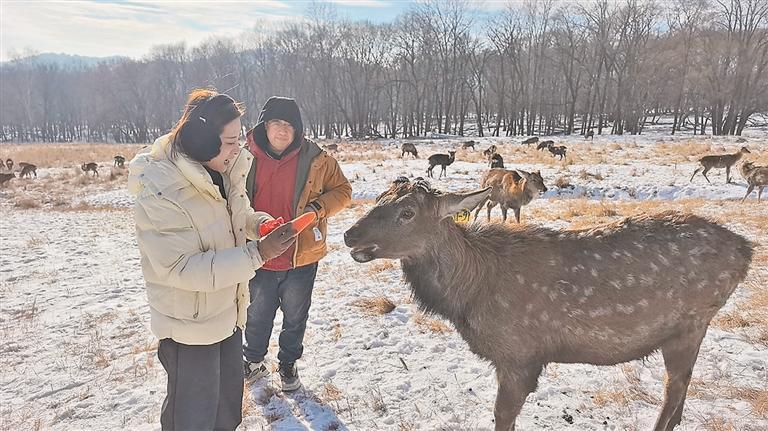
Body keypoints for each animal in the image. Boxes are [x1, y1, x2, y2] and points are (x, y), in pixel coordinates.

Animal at [343, 177, 753, 431]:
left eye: (407, 212)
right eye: (378, 200)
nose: (349, 235)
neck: (470, 295)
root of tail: (746, 249)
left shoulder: (519, 355)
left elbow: (502, 417)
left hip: (689, 321)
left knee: (673, 388)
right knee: (682, 387)